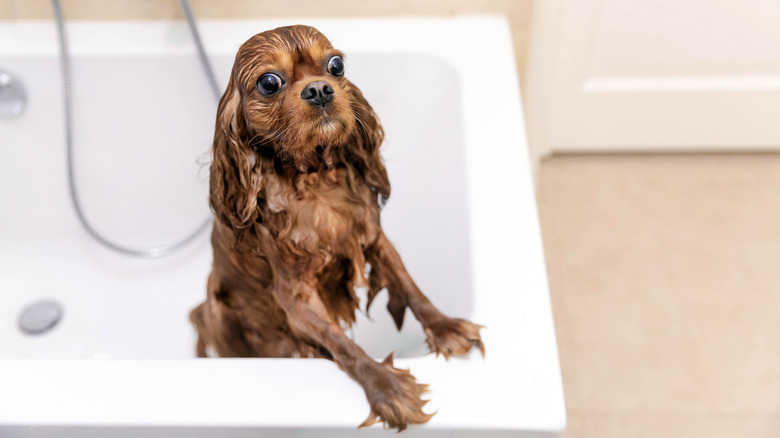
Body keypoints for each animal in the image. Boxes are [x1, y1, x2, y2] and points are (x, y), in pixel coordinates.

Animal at [190, 24, 482, 432]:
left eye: (336, 65)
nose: (319, 89)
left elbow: (410, 287)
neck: (313, 181)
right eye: (269, 82)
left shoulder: (374, 238)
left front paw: (444, 327)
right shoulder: (296, 298)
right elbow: (342, 344)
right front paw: (386, 386)